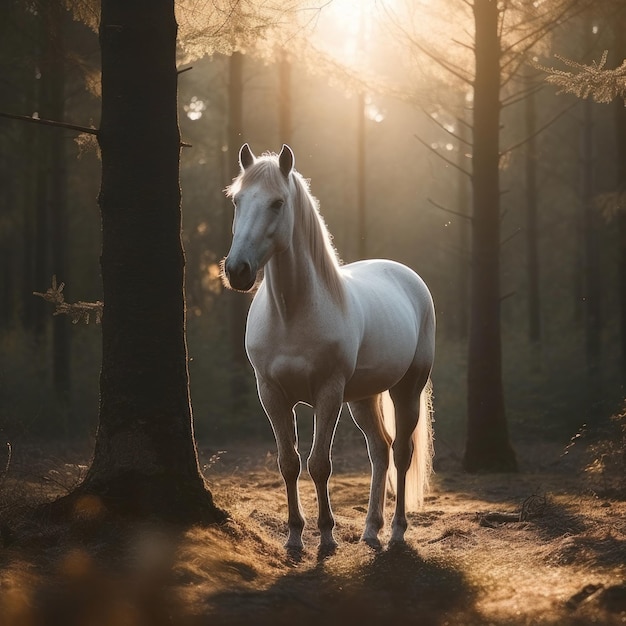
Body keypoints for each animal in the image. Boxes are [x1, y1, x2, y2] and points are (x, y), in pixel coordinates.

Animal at [223, 143, 434, 552]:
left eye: (277, 203)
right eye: (238, 200)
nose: (237, 271)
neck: (292, 313)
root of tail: (407, 276)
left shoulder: (328, 393)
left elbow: (320, 463)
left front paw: (326, 535)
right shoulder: (271, 394)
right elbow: (289, 463)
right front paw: (293, 536)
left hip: (407, 389)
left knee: (401, 453)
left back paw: (397, 530)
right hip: (363, 398)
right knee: (380, 450)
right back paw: (371, 530)